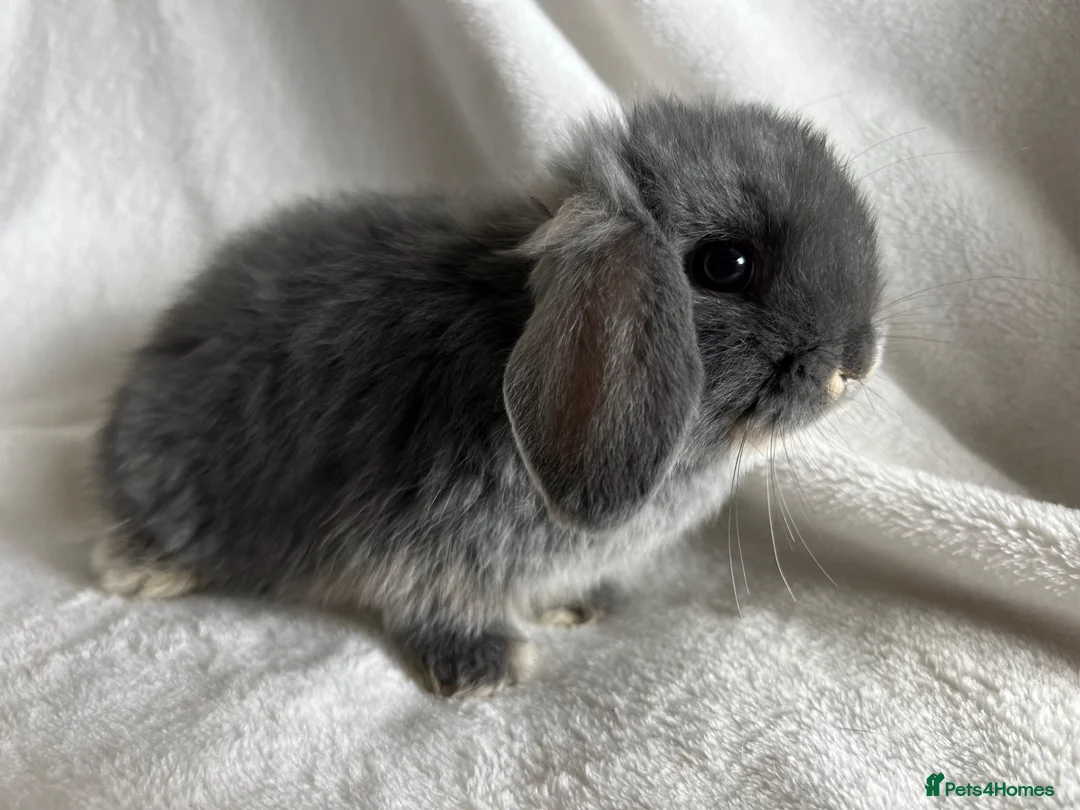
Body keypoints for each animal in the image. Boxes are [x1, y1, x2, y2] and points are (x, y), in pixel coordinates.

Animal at [92, 96, 885, 697]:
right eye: (727, 264)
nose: (855, 364)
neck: (509, 324)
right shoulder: (422, 542)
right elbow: (431, 603)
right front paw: (487, 671)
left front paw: (582, 606)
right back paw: (143, 570)